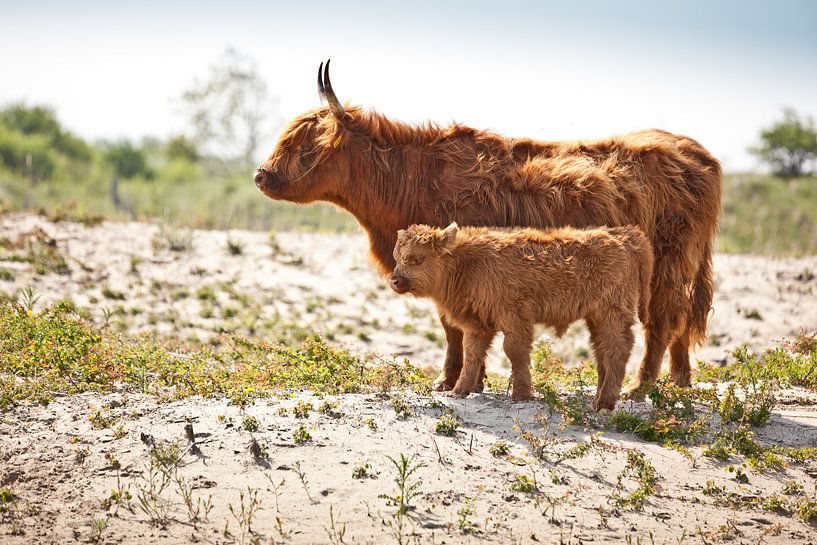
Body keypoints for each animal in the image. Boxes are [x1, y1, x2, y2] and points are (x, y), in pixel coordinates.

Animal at [392, 222, 652, 408]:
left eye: (418, 258)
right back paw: (598, 398)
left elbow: (514, 351)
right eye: (397, 257)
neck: (468, 263)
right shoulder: (478, 325)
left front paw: (521, 395)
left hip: (612, 314)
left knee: (617, 349)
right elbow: (473, 354)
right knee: (601, 351)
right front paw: (459, 391)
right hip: (596, 318)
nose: (395, 280)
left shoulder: (515, 317)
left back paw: (604, 403)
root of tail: (627, 237)